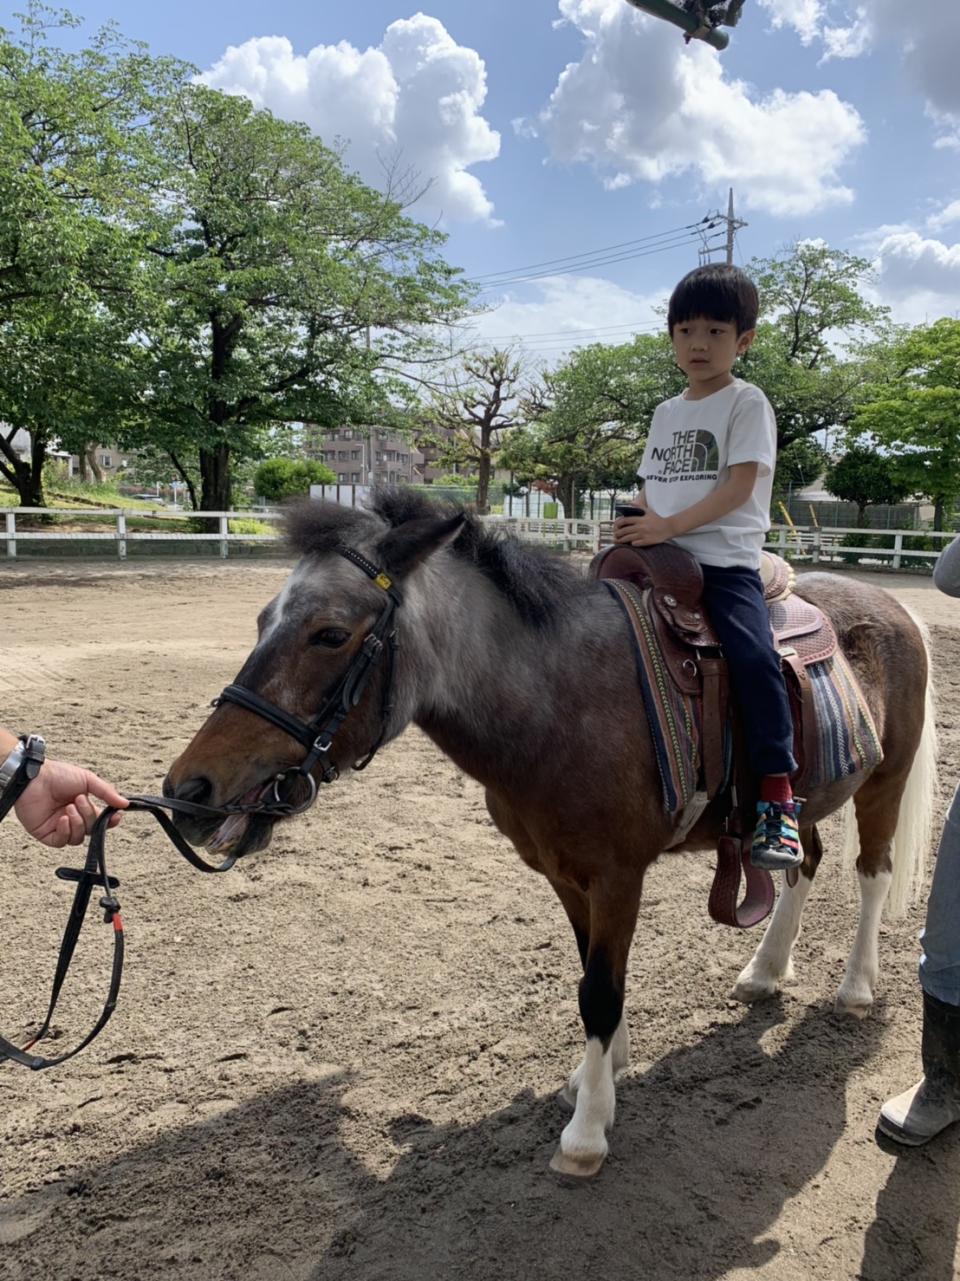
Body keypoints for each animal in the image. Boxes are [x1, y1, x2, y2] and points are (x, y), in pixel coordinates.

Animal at [166, 486, 938, 1173]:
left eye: (329, 633)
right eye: (263, 620)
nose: (188, 791)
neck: (559, 699)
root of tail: (893, 605)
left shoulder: (619, 875)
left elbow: (601, 989)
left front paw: (587, 1130)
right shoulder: (567, 873)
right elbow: (591, 974)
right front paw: (602, 1072)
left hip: (885, 782)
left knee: (871, 872)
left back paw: (856, 986)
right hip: (805, 802)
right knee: (803, 861)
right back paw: (765, 970)